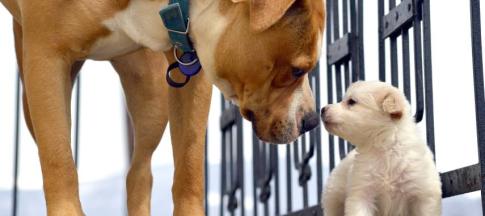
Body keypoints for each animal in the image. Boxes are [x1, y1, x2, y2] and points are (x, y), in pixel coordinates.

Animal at [0, 0, 326, 215]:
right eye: (298, 70)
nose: (311, 120)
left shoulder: (191, 58)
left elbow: (189, 168)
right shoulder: (45, 60)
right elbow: (59, 164)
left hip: (150, 96)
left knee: (139, 172)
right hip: (32, 96)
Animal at [320, 81, 440, 216]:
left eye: (351, 101)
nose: (322, 109)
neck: (385, 148)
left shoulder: (423, 196)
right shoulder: (361, 193)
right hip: (333, 198)